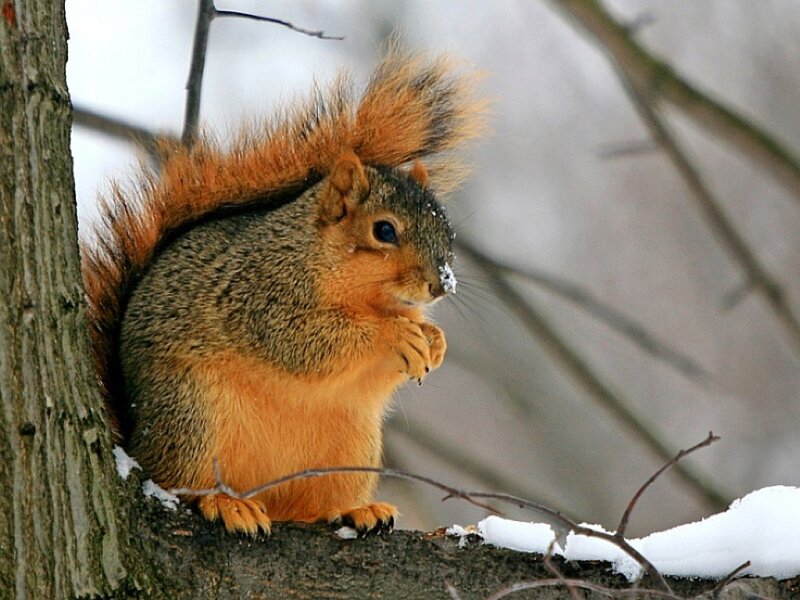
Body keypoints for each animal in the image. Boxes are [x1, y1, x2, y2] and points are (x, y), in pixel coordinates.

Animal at [82, 44, 485, 536]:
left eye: (447, 230)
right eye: (384, 230)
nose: (441, 284)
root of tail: (138, 444)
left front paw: (434, 340)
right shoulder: (262, 295)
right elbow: (304, 343)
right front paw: (394, 335)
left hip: (350, 450)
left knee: (314, 506)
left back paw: (357, 510)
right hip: (191, 418)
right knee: (181, 483)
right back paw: (226, 503)